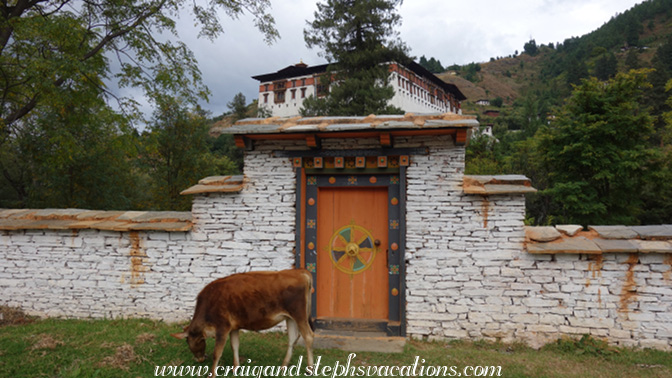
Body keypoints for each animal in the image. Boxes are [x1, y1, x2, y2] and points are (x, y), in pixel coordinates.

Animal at [171, 268, 312, 376]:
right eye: (187, 341)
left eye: (196, 341)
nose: (200, 359)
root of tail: (300, 272)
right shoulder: (233, 327)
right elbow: (235, 346)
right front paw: (235, 368)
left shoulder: (222, 327)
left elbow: (217, 353)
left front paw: (212, 374)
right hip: (290, 318)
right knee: (293, 338)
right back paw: (283, 366)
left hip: (299, 315)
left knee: (308, 336)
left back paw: (309, 369)